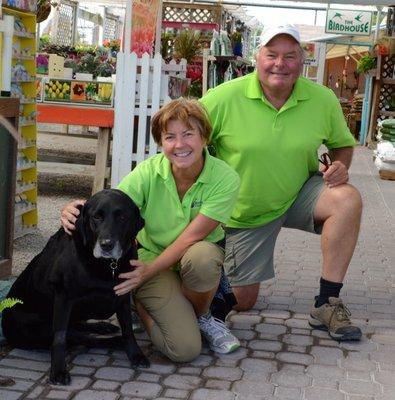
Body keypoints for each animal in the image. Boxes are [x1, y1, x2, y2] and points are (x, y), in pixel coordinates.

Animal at [1, 189, 150, 386]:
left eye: (122, 217)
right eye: (97, 217)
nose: (106, 245)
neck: (107, 265)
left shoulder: (124, 293)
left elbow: (128, 330)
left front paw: (135, 354)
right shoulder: (64, 297)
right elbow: (59, 339)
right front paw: (58, 371)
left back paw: (103, 328)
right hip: (38, 328)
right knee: (82, 337)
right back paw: (113, 340)